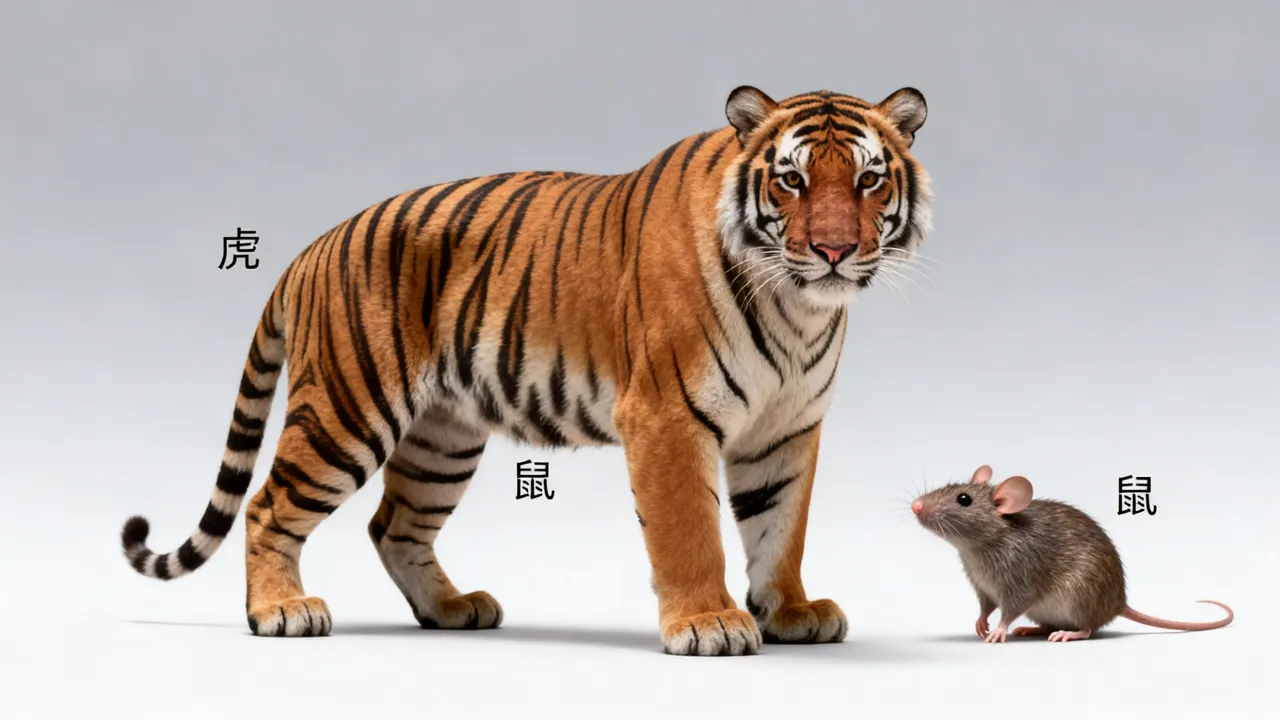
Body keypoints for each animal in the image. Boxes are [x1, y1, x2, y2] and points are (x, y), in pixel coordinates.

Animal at [119, 84, 932, 656]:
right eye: (792, 181)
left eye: (868, 181)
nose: (832, 250)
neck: (800, 308)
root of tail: (311, 248)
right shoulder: (667, 416)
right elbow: (690, 529)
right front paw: (710, 623)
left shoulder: (786, 430)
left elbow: (780, 527)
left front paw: (790, 611)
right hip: (346, 413)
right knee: (267, 505)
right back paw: (281, 611)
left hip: (441, 438)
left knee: (393, 526)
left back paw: (451, 609)